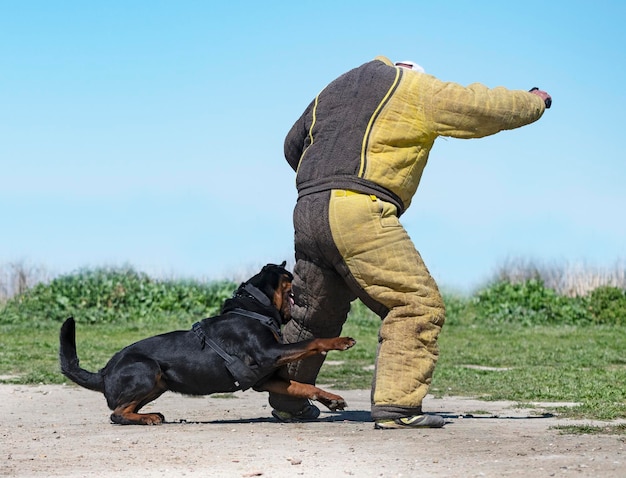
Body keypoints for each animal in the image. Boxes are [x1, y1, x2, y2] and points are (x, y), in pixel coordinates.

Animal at [60, 262, 354, 426]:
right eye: (290, 276)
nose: (307, 281)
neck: (256, 309)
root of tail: (103, 372)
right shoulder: (269, 353)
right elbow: (313, 341)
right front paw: (340, 341)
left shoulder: (264, 378)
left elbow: (302, 386)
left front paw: (331, 399)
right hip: (146, 369)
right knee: (116, 413)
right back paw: (147, 418)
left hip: (158, 383)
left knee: (123, 408)